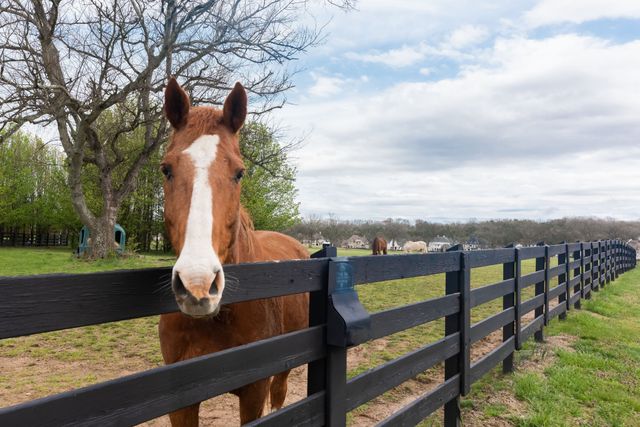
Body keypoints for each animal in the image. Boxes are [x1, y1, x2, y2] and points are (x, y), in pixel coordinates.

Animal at [158, 77, 309, 426]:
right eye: (166, 169)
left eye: (239, 172)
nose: (198, 286)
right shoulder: (180, 402)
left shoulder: (254, 391)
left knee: (280, 395)